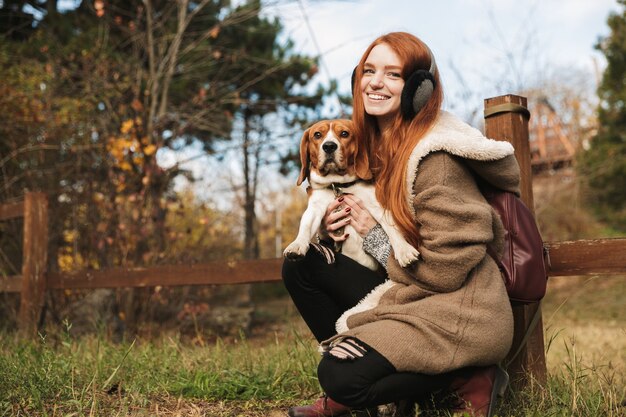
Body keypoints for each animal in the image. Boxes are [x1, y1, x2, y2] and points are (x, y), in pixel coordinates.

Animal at [284, 120, 420, 270]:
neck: (337, 185)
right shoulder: (315, 208)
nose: (329, 146)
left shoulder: (376, 205)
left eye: (344, 133)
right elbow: (306, 226)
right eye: (317, 135)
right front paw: (297, 244)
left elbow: (391, 228)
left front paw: (404, 250)